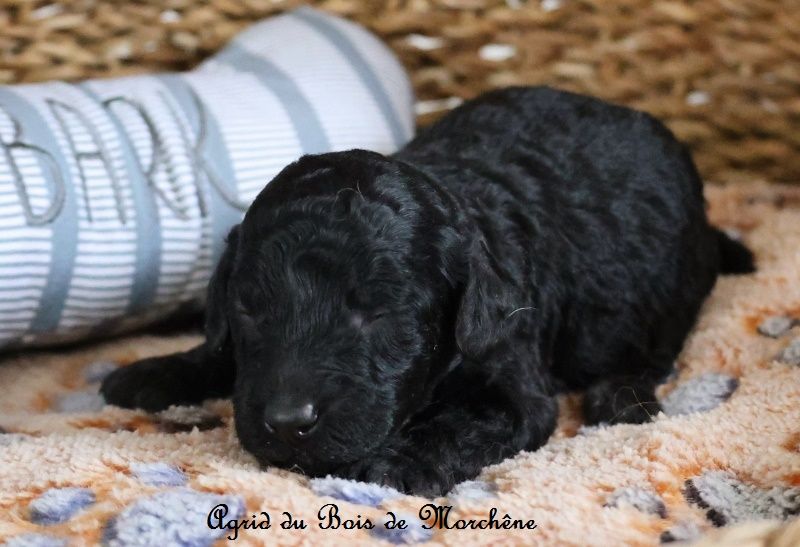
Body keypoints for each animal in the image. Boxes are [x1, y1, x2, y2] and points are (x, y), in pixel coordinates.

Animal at [101, 86, 754, 496]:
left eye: (378, 314)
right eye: (249, 310)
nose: (287, 424)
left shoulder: (514, 375)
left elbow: (462, 422)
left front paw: (394, 463)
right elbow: (221, 354)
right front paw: (160, 370)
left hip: (669, 289)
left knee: (658, 348)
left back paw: (621, 395)